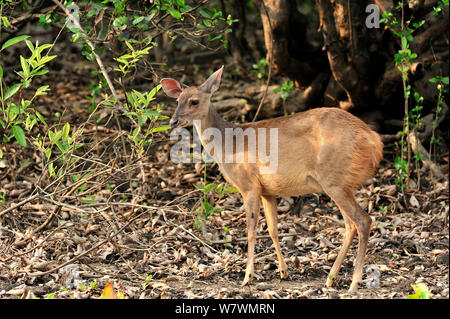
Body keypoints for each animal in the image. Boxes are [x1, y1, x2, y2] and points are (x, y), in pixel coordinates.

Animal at [160, 65, 382, 292]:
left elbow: (251, 230)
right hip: (339, 184)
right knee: (350, 225)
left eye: (194, 101)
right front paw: (283, 271)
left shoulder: (248, 185)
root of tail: (376, 143)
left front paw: (248, 276)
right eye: (178, 100)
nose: (173, 121)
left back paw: (354, 283)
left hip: (334, 180)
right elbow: (273, 229)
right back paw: (331, 278)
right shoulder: (268, 190)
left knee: (363, 220)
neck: (229, 144)